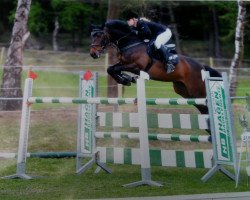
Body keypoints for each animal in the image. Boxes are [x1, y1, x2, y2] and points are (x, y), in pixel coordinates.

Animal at [89, 19, 221, 115]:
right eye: (92, 35)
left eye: (99, 35)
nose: (93, 54)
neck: (130, 43)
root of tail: (202, 67)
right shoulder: (124, 64)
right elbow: (111, 69)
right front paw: (127, 79)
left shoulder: (136, 65)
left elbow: (115, 69)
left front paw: (126, 80)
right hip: (185, 91)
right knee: (202, 108)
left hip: (197, 91)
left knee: (206, 104)